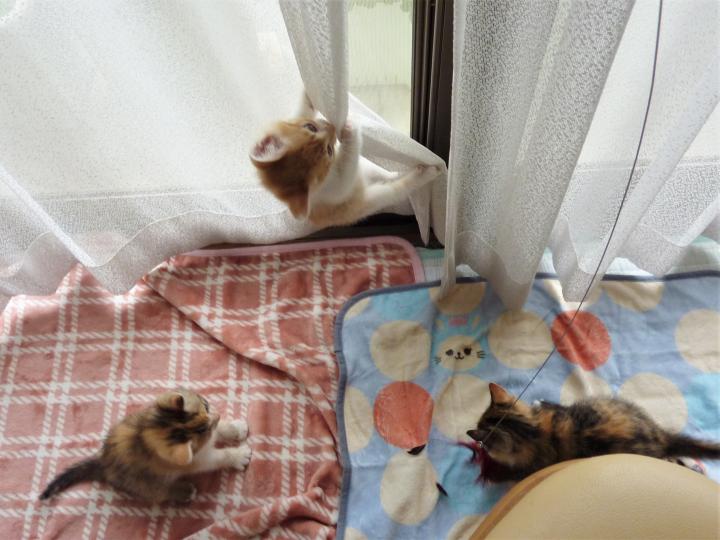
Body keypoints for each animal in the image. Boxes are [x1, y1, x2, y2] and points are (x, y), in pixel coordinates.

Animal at [40, 389, 251, 504]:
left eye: (205, 405)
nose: (218, 415)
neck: (149, 432)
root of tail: (103, 463)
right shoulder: (196, 460)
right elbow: (216, 458)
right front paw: (238, 455)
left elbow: (220, 431)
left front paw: (234, 428)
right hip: (143, 482)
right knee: (158, 493)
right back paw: (183, 491)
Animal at [250, 92, 441, 227]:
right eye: (329, 151)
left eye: (310, 126)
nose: (332, 127)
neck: (331, 170)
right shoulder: (336, 189)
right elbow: (347, 169)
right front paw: (350, 130)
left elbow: (303, 109)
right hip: (369, 200)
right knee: (396, 189)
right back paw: (427, 172)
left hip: (367, 170)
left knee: (383, 174)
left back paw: (395, 173)